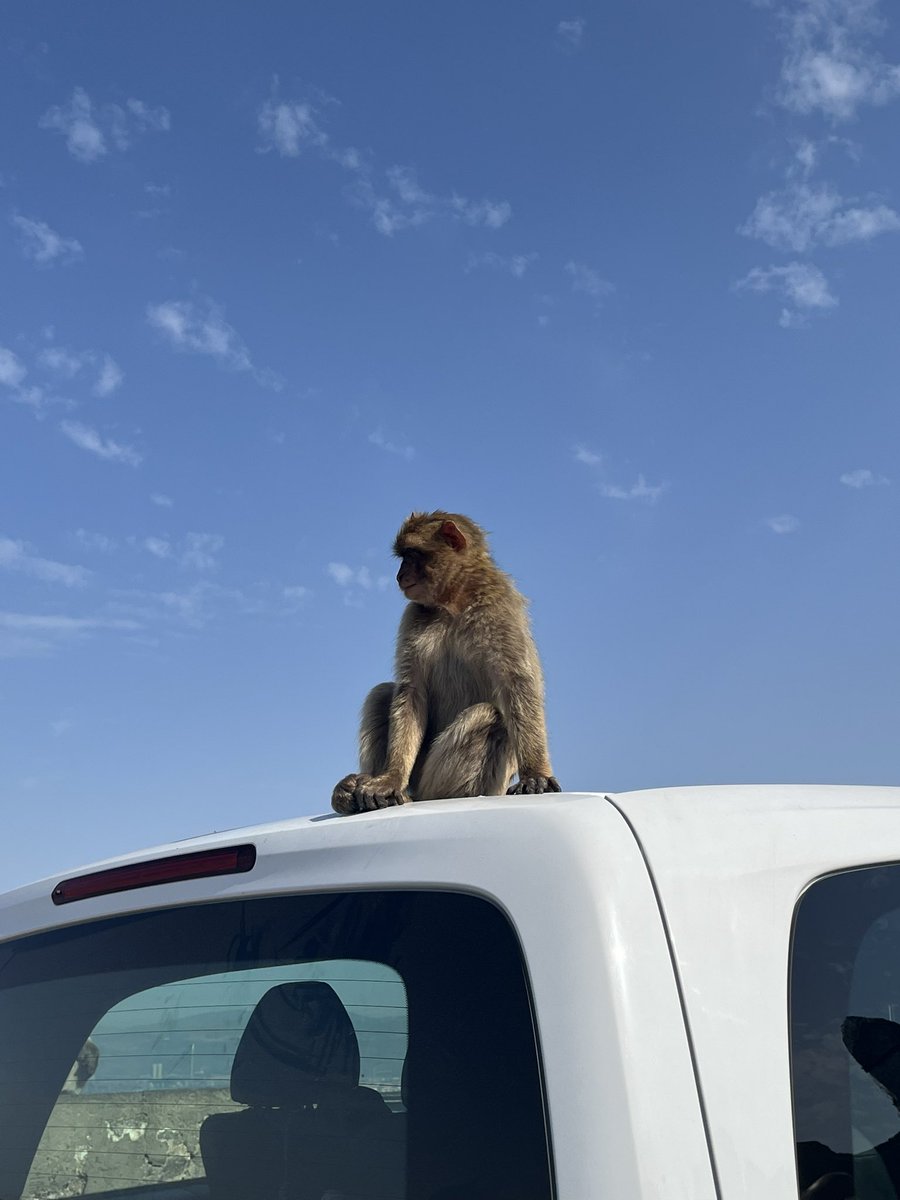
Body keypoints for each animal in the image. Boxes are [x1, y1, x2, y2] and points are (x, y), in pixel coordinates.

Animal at [332, 511, 560, 815]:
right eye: (403, 557)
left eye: (412, 555)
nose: (399, 575)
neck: (454, 600)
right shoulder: (413, 615)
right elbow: (411, 691)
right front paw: (390, 779)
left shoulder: (500, 606)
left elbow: (517, 683)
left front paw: (536, 773)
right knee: (382, 693)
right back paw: (368, 788)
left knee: (490, 716)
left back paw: (429, 796)